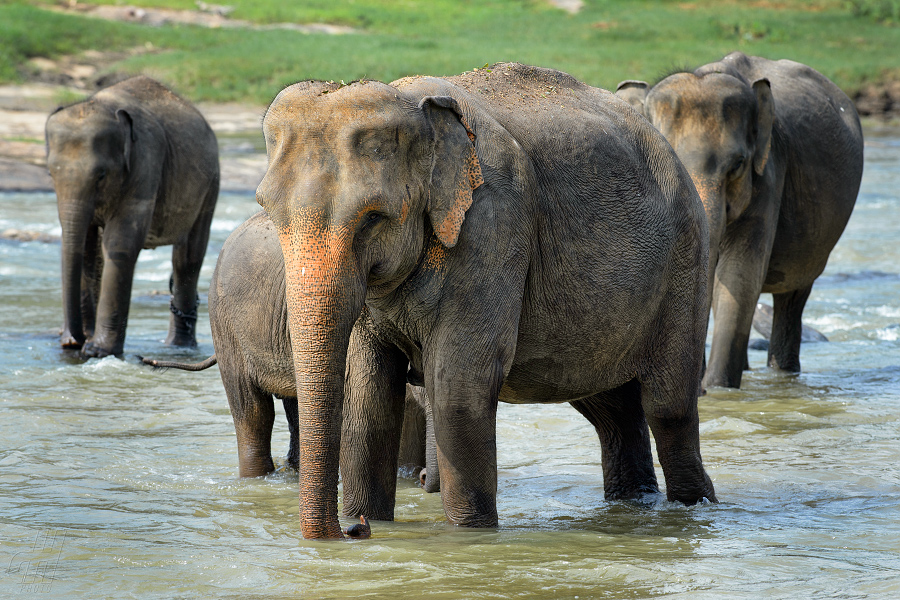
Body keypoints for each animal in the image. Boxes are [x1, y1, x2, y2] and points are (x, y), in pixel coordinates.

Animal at [46, 74, 221, 356]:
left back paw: (178, 348)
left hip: (210, 185)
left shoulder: (146, 161)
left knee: (187, 258)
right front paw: (78, 346)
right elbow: (87, 246)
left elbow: (121, 243)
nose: (74, 340)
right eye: (50, 173)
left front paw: (98, 352)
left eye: (101, 175)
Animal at [616, 51, 860, 390]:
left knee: (792, 296)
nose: (699, 387)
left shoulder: (769, 175)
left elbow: (739, 275)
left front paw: (719, 388)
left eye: (738, 165)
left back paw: (782, 374)